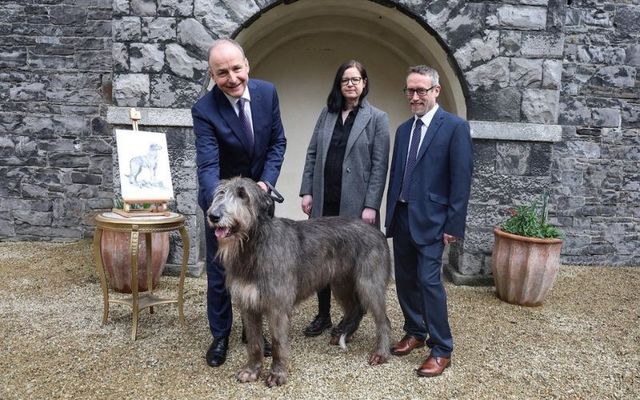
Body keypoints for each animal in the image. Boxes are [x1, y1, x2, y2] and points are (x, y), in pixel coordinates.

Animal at [208, 177, 392, 386]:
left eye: (242, 195)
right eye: (220, 193)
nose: (213, 216)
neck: (254, 245)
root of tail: (378, 232)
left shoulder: (278, 306)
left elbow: (278, 342)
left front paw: (277, 374)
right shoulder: (248, 304)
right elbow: (254, 342)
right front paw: (251, 370)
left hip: (369, 284)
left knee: (383, 320)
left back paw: (381, 353)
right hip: (342, 283)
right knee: (355, 309)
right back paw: (343, 334)